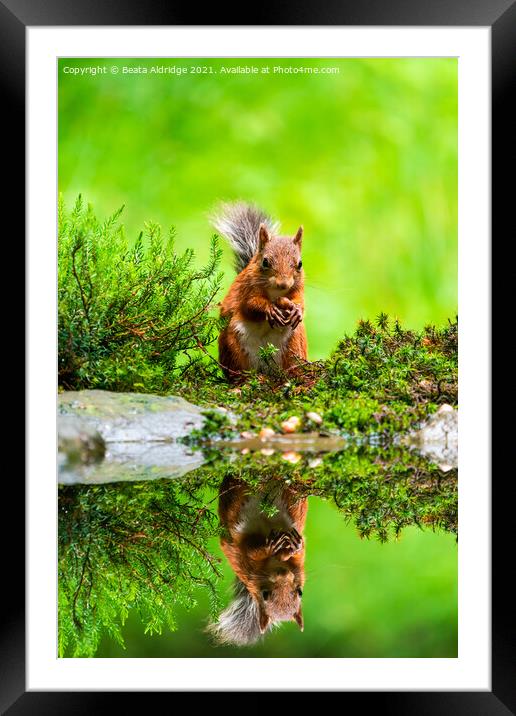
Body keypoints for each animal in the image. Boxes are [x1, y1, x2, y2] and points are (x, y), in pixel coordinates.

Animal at [208, 476, 308, 648]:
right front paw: (270, 548)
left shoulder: (299, 564)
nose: (283, 574)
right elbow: (251, 551)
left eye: (300, 592)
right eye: (264, 594)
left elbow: (298, 552)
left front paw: (294, 548)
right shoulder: (248, 564)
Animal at [210, 201, 306, 380]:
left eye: (300, 264)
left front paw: (297, 310)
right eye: (265, 262)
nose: (283, 284)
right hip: (234, 346)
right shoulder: (246, 289)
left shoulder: (298, 289)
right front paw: (269, 309)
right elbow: (250, 306)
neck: (276, 293)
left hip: (294, 343)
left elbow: (301, 302)